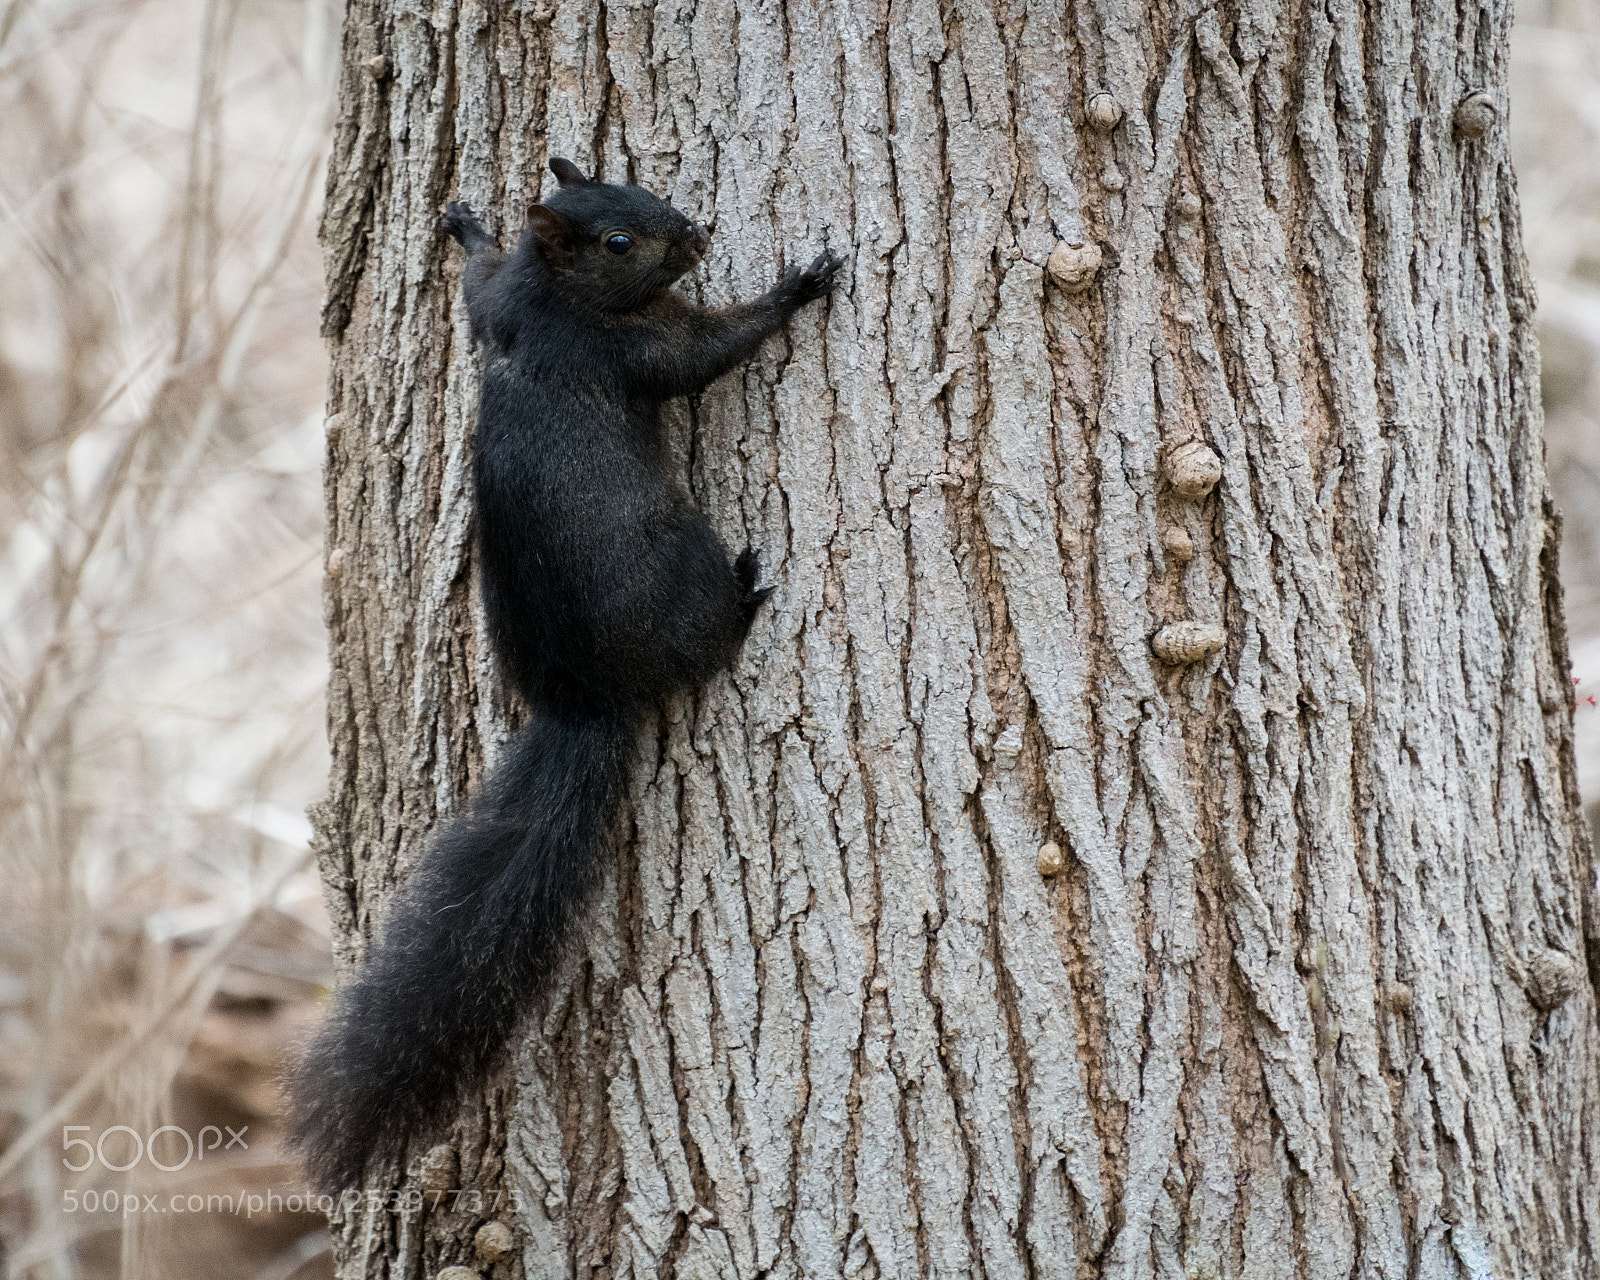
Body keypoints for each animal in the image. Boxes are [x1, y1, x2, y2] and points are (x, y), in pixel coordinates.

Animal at [289, 156, 843, 1194]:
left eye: (639, 187)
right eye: (620, 242)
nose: (697, 231)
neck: (553, 299)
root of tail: (585, 703)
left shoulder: (495, 311)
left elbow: (472, 286)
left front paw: (467, 225)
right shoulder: (631, 353)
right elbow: (710, 353)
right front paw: (798, 286)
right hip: (682, 563)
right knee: (707, 631)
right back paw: (748, 595)